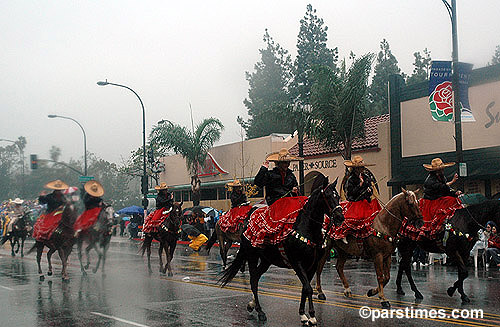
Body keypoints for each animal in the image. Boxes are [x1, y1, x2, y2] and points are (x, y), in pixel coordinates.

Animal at [220, 174, 344, 326]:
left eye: (338, 196)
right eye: (327, 196)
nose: (340, 217)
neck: (307, 229)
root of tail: (247, 222)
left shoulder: (312, 265)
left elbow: (305, 288)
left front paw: (303, 314)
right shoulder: (297, 263)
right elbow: (308, 288)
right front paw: (312, 316)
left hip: (266, 260)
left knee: (256, 277)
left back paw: (252, 305)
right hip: (252, 256)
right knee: (253, 280)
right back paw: (260, 311)